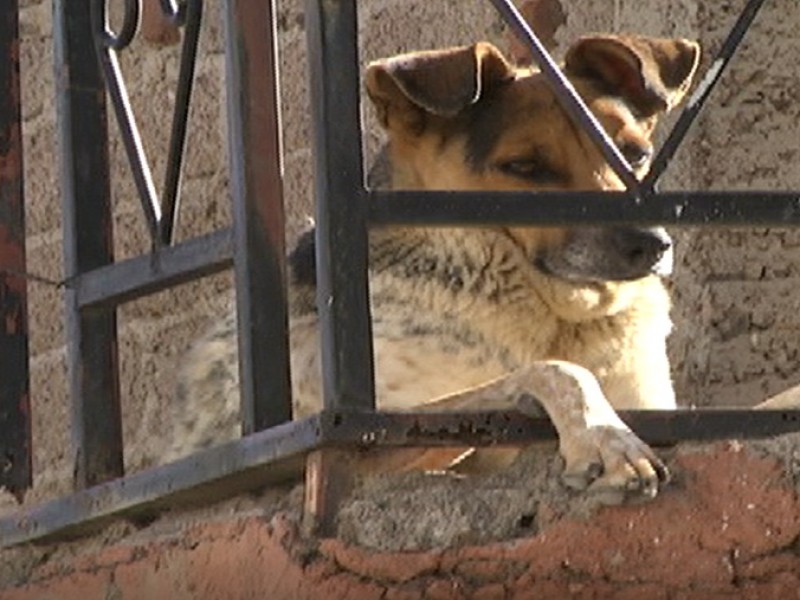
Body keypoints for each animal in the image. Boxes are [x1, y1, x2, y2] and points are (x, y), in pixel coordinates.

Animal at [170, 35, 700, 504]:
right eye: (524, 167)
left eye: (634, 154)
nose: (651, 245)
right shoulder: (371, 442)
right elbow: (554, 372)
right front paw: (605, 438)